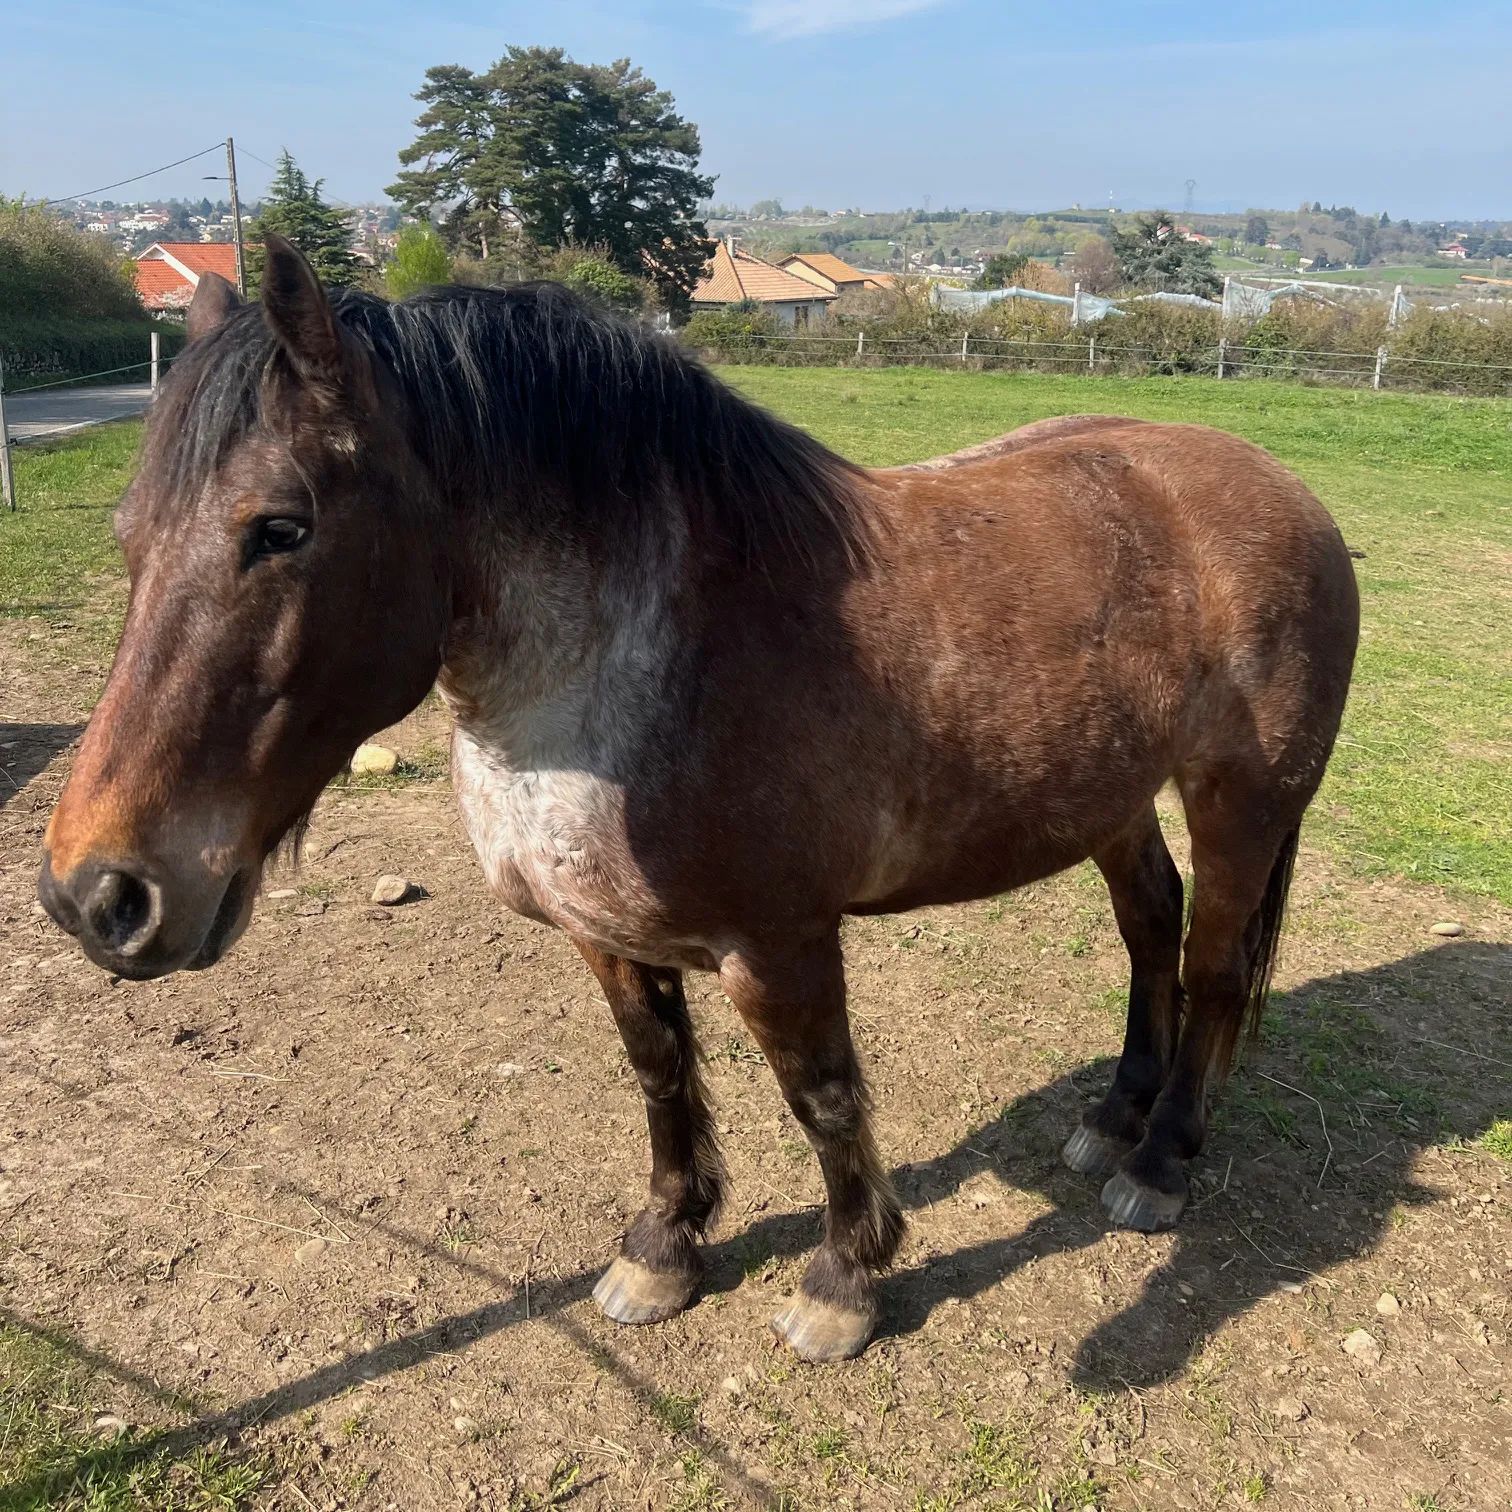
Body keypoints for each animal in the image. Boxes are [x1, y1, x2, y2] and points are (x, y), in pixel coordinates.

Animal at [38, 235, 1359, 1363]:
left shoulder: (780, 944)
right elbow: (661, 1077)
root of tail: (1279, 487)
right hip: (1112, 799)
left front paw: (844, 1280)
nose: (95, 894)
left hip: (1240, 801)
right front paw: (667, 1249)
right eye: (128, 534)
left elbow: (822, 1098)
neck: (639, 661)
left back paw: (1162, 1161)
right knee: (1149, 926)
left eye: (279, 528)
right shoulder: (608, 939)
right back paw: (1111, 1118)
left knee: (1212, 966)